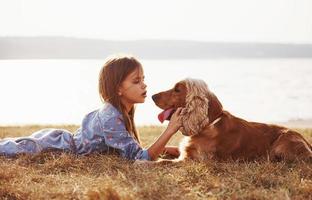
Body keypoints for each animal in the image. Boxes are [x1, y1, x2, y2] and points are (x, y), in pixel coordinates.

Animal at [152, 78, 312, 162]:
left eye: (177, 90)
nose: (152, 96)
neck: (208, 124)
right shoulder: (183, 151)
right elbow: (167, 148)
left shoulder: (192, 160)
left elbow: (162, 162)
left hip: (281, 144)